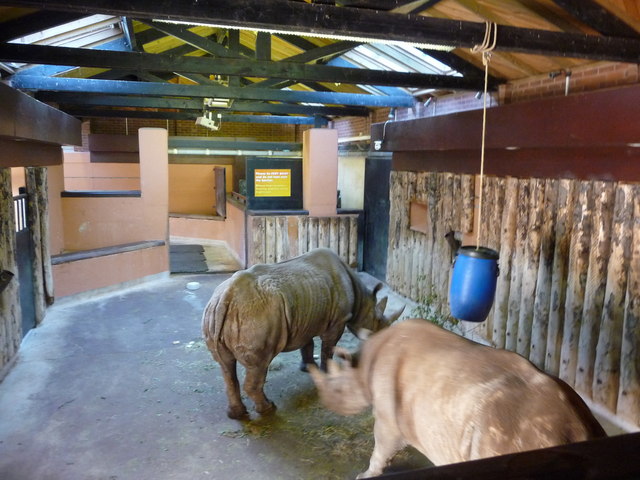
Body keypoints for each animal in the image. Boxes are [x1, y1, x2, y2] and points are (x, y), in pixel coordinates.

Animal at [201, 249, 400, 418]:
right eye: (379, 323)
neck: (362, 300)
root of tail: (226, 297)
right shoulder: (338, 320)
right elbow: (328, 348)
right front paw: (327, 374)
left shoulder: (307, 319)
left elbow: (308, 343)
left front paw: (308, 367)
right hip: (254, 317)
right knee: (259, 365)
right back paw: (269, 409)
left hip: (214, 314)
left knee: (226, 366)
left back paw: (236, 414)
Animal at [308, 316, 604, 478]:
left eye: (337, 389)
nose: (325, 402)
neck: (363, 364)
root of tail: (576, 431)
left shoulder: (388, 419)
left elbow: (380, 450)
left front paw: (364, 475)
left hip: (514, 436)